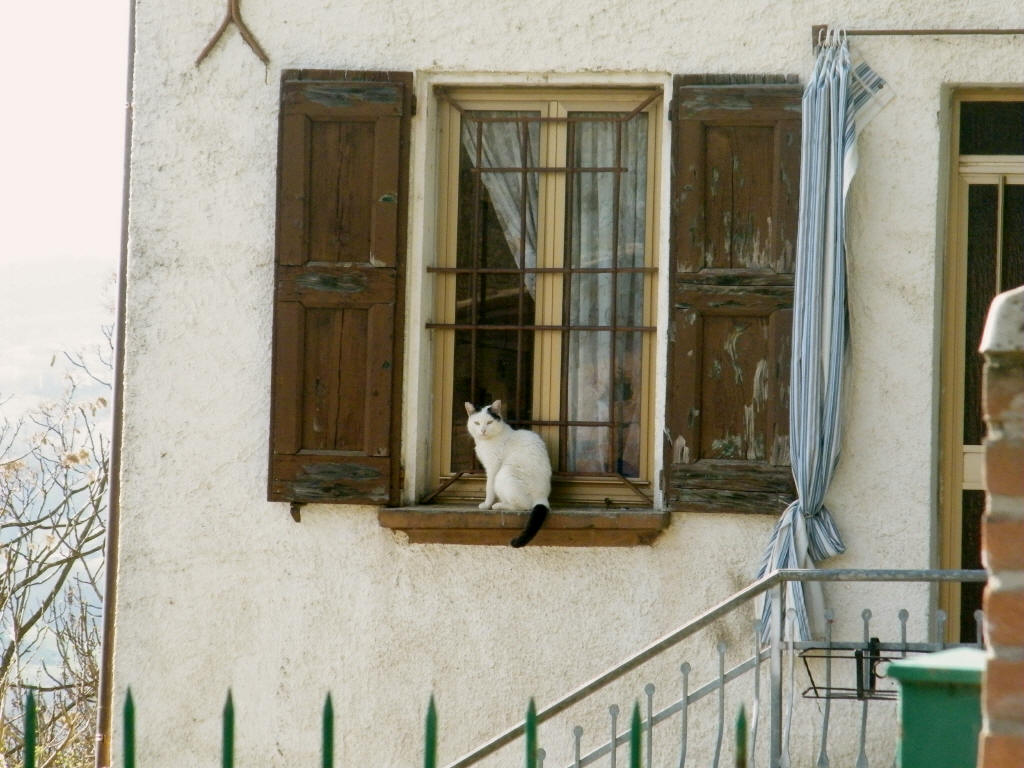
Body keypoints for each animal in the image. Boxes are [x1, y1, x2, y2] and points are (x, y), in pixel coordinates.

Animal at [464, 400, 551, 548]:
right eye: (476, 423)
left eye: (489, 422)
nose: (483, 431)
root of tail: (542, 497)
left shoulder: (493, 467)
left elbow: (489, 487)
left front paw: (486, 504)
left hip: (504, 474)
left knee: (523, 506)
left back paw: (498, 505)